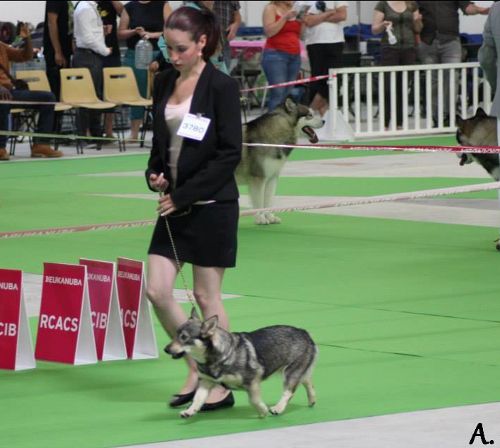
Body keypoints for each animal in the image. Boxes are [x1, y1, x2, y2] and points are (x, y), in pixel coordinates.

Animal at [166, 308, 318, 420]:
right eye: (175, 335)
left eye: (184, 337)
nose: (165, 349)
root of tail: (304, 332)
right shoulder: (205, 382)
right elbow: (197, 398)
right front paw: (190, 411)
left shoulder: (252, 382)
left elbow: (253, 400)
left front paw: (263, 411)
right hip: (296, 371)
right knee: (308, 382)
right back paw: (311, 400)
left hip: (290, 373)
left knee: (289, 392)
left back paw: (278, 408)